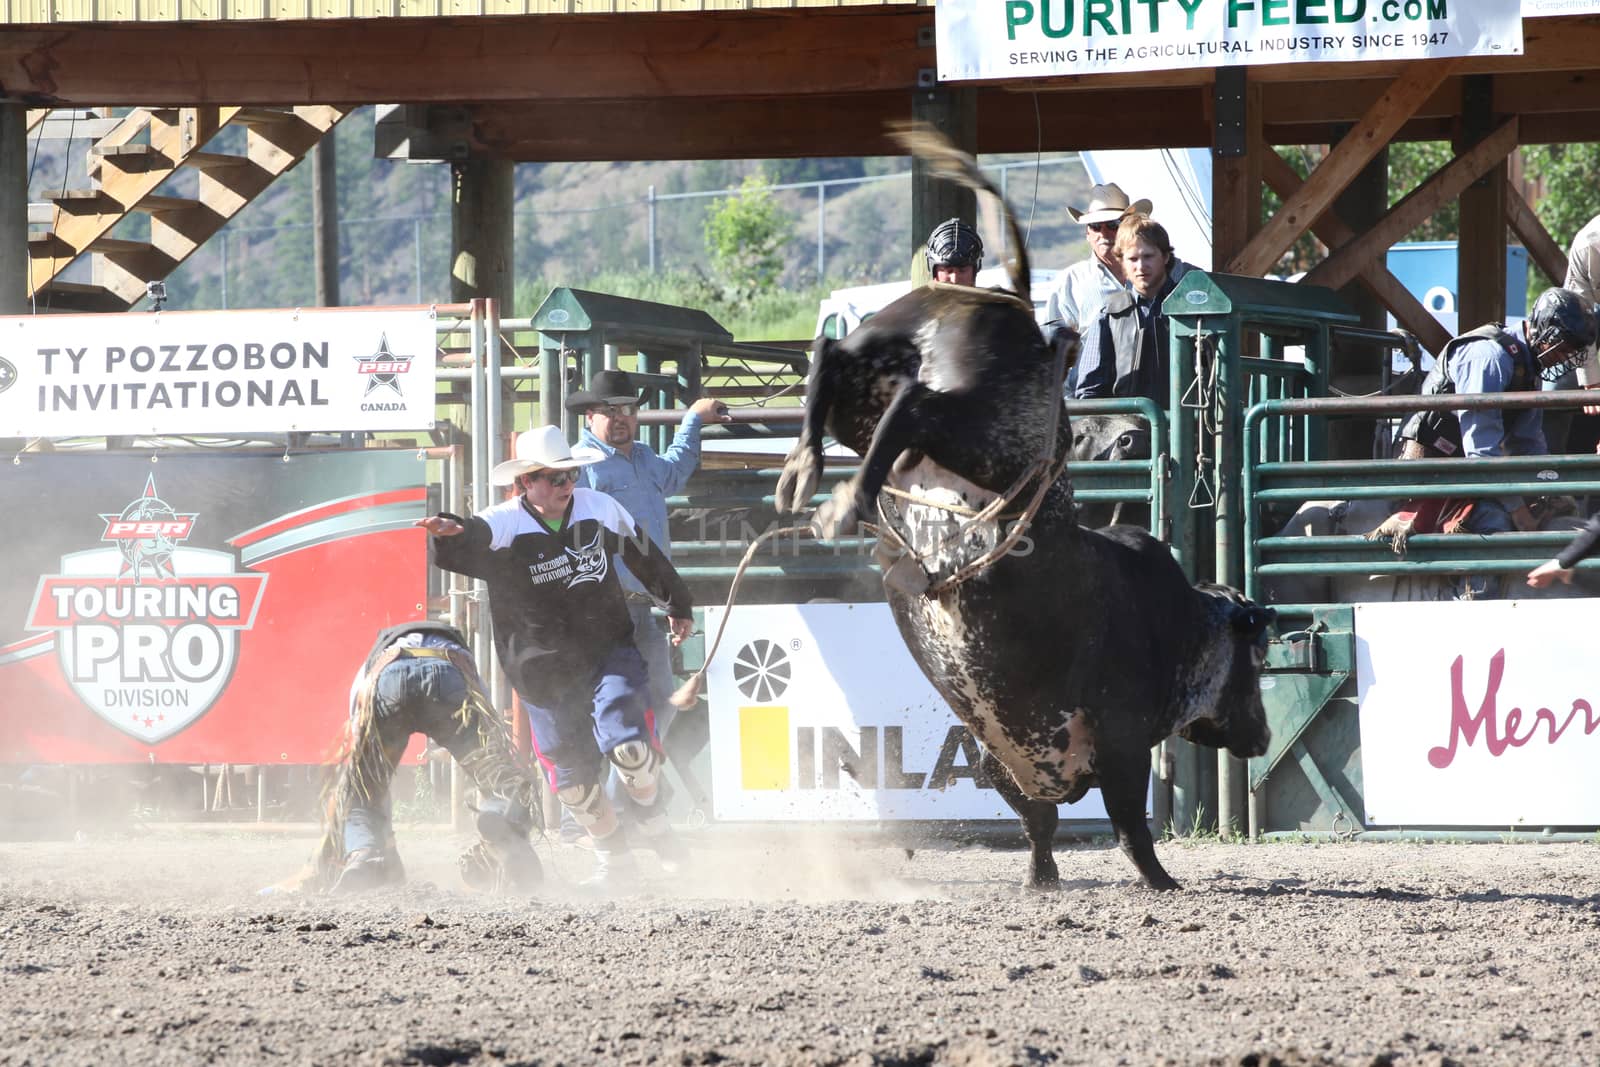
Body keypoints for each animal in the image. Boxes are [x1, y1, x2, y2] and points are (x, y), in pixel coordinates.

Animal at [774, 123, 1273, 895]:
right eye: (1259, 659)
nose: (1264, 735)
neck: (1178, 619)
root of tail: (1003, 301)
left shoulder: (999, 753)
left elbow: (1038, 818)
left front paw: (1042, 878)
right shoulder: (1120, 736)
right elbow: (1127, 822)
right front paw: (1160, 879)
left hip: (874, 373)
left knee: (837, 359)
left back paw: (808, 471)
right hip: (988, 431)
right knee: (914, 408)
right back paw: (842, 498)